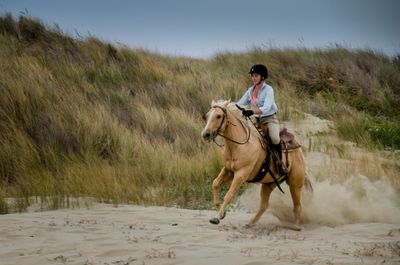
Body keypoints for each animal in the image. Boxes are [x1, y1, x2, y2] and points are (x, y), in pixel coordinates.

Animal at [202, 99, 310, 227]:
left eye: (218, 116)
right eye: (207, 115)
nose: (206, 134)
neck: (240, 145)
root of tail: (299, 150)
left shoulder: (241, 174)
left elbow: (229, 195)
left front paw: (217, 217)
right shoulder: (228, 170)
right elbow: (215, 184)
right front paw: (221, 212)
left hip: (295, 185)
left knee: (297, 206)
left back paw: (296, 227)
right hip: (268, 184)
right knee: (264, 205)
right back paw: (251, 223)